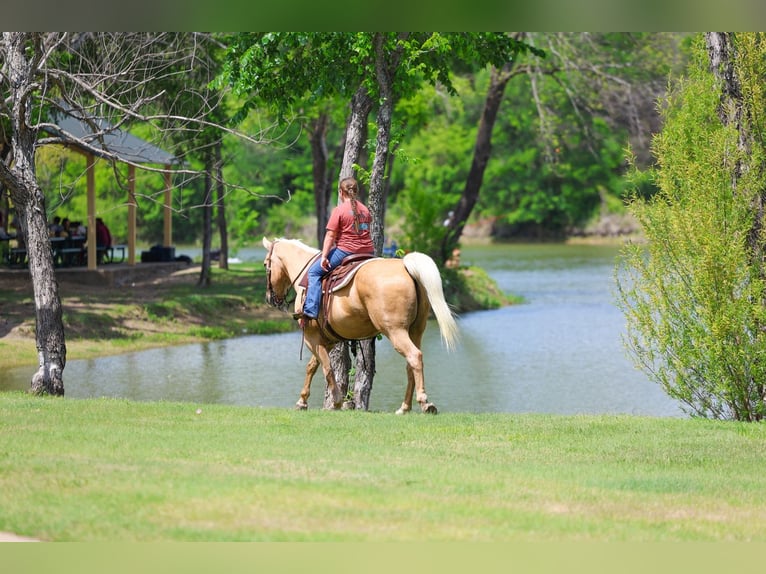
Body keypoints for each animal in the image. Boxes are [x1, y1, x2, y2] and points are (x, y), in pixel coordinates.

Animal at [262, 237, 459, 414]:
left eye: (265, 264)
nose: (270, 298)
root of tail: (405, 267)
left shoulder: (312, 338)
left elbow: (326, 367)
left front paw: (336, 401)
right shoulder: (326, 340)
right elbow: (313, 366)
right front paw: (302, 401)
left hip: (396, 331)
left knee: (414, 356)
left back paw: (425, 402)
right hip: (416, 331)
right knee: (410, 364)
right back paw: (404, 407)